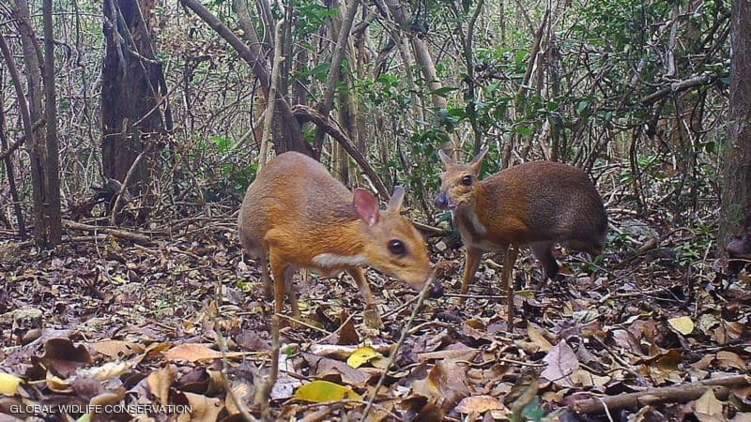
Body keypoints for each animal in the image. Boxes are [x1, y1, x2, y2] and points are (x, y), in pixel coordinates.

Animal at [438, 149, 608, 326]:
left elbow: (504, 279)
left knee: (599, 250)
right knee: (553, 266)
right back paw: (535, 293)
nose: (440, 201)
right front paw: (457, 305)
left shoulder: (514, 237)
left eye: (466, 179)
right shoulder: (473, 248)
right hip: (540, 243)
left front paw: (504, 303)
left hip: (576, 234)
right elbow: (466, 281)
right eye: (441, 179)